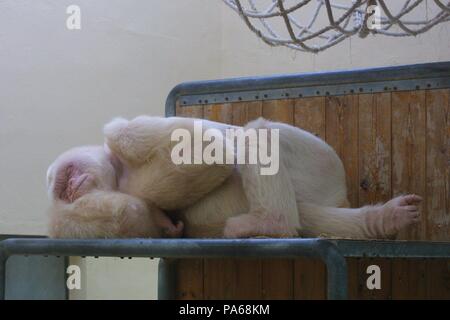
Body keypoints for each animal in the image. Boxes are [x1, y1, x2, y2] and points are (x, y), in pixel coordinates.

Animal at [46, 116, 422, 239]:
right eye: (65, 189)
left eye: (67, 177)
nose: (70, 188)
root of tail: (340, 190)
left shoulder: (124, 134)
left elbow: (210, 148)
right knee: (310, 216)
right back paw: (381, 220)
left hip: (318, 162)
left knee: (254, 134)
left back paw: (272, 221)